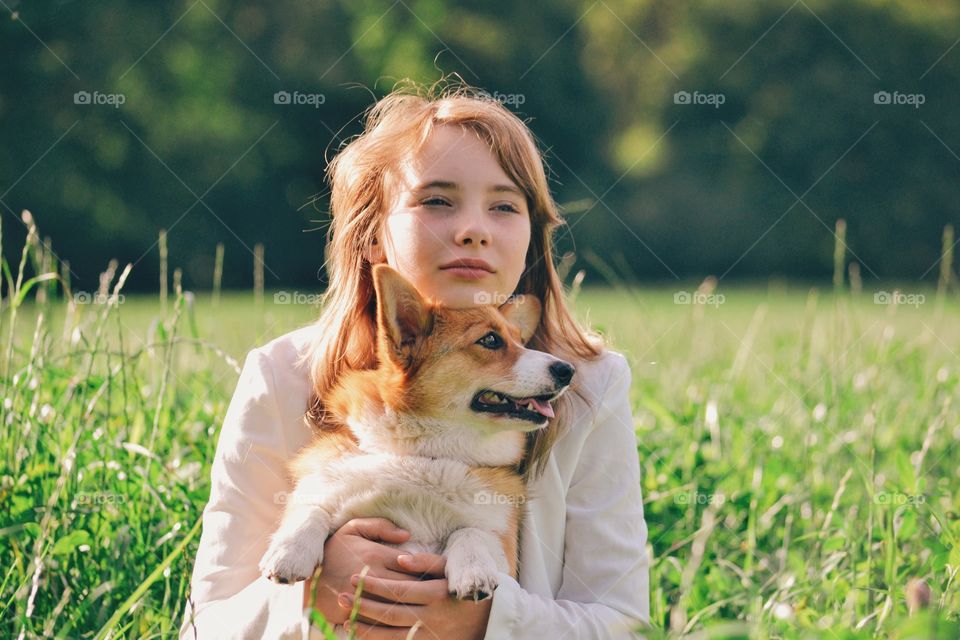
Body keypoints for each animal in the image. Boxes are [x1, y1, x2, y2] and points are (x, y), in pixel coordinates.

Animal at [256, 262, 576, 600]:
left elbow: (471, 531)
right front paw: (289, 553)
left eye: (520, 341)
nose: (567, 370)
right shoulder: (326, 486)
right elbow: (312, 506)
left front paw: (473, 571)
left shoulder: (503, 546)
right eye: (490, 340)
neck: (425, 453)